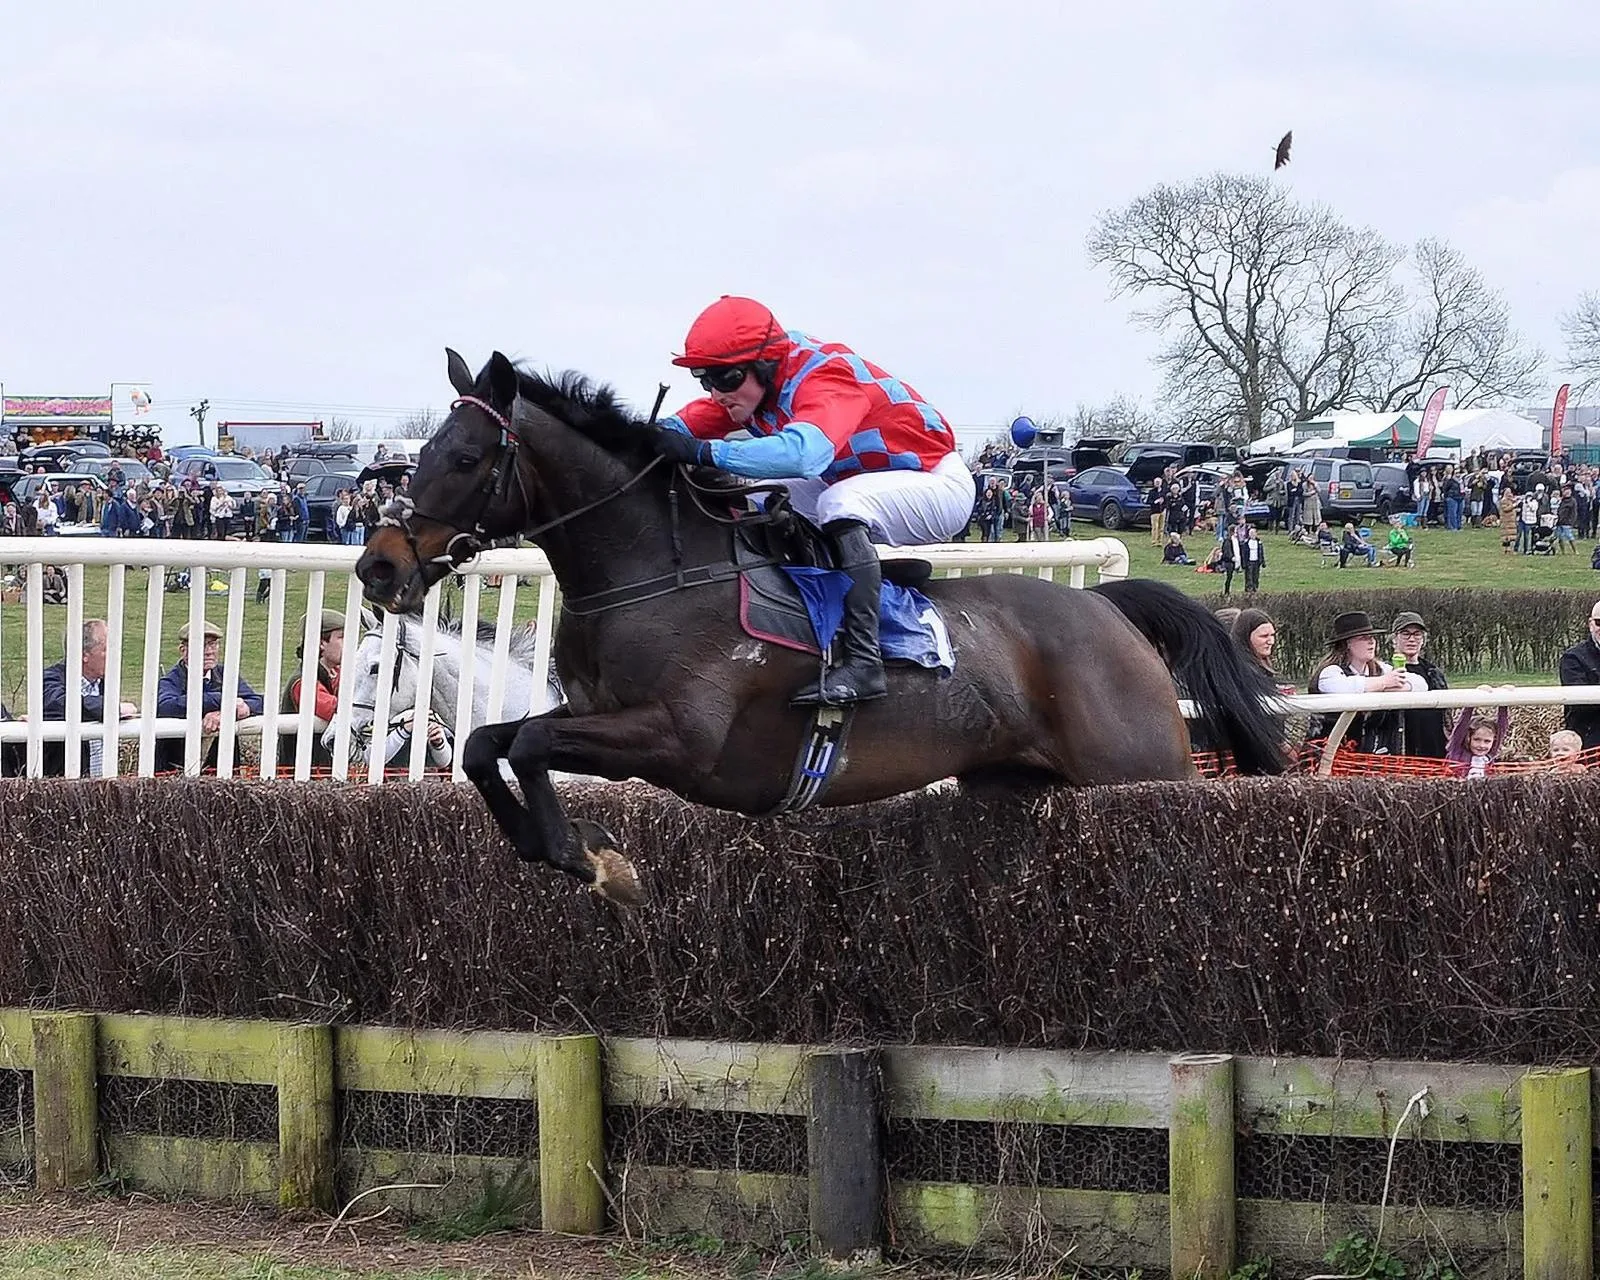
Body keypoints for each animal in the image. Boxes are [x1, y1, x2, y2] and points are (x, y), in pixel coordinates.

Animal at [356, 350, 1286, 904]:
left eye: (465, 458)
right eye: (421, 452)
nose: (380, 566)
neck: (655, 571)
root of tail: (1106, 609)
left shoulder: (677, 740)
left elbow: (529, 744)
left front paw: (594, 859)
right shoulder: (590, 713)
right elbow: (492, 745)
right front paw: (550, 845)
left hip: (1137, 765)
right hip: (1012, 782)